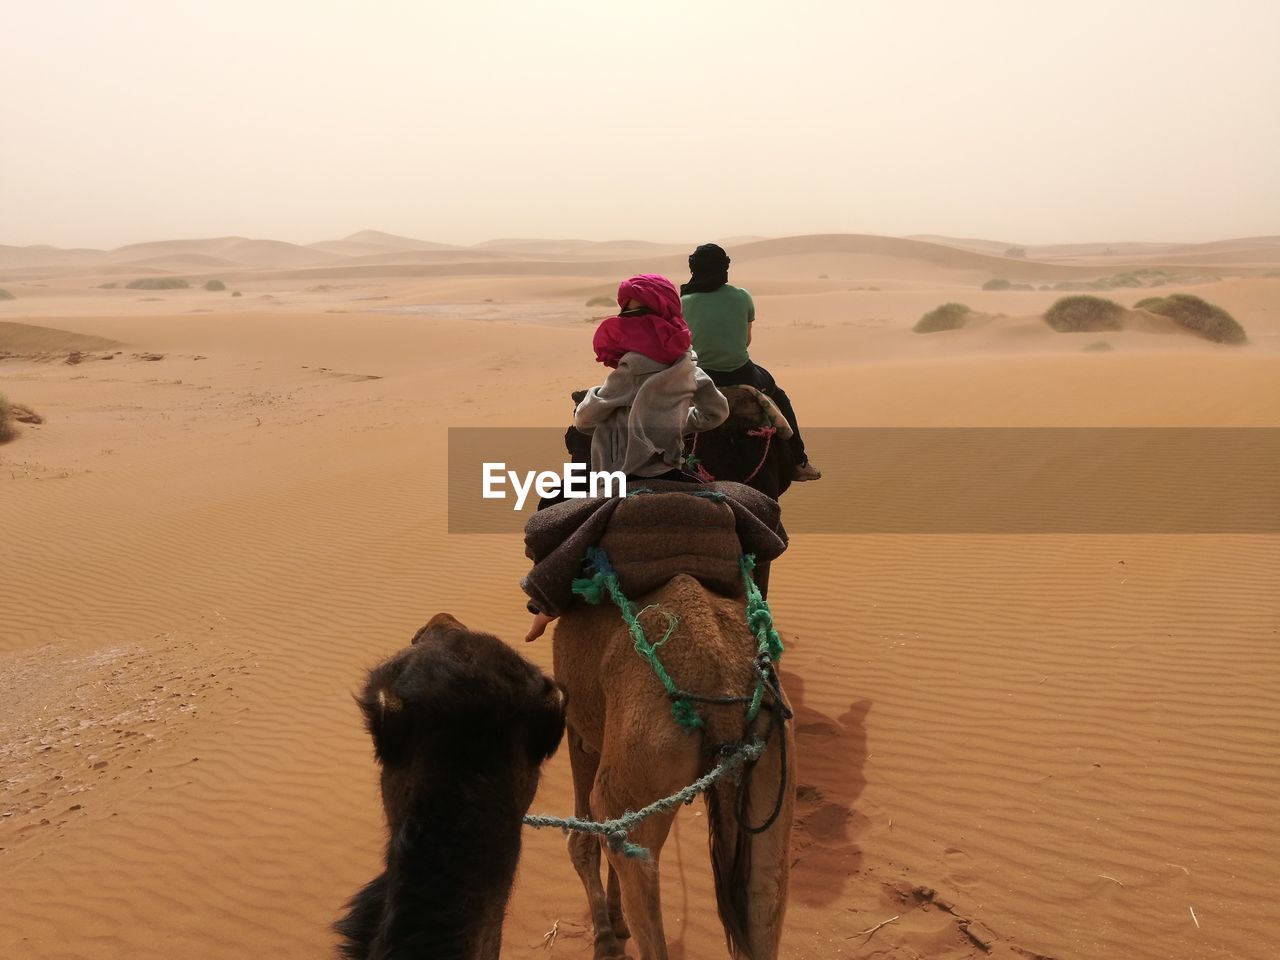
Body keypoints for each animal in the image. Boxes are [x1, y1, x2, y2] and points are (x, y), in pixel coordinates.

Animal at [552, 576, 793, 957]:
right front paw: (615, 922)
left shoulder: (578, 727)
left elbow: (583, 841)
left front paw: (606, 938)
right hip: (774, 764)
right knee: (766, 892)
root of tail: (721, 680)